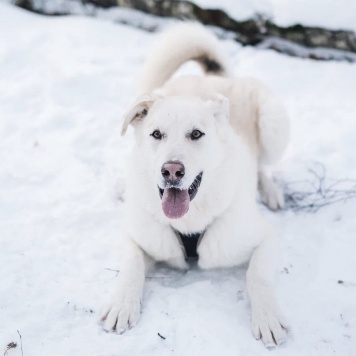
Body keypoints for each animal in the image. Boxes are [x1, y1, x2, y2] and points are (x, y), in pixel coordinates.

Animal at [99, 23, 290, 348]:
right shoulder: (136, 237)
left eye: (196, 134)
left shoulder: (264, 239)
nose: (172, 171)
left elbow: (256, 275)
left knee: (264, 165)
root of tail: (213, 78)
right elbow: (131, 265)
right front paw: (121, 304)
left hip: (274, 122)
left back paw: (270, 190)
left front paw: (267, 317)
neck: (189, 223)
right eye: (156, 134)